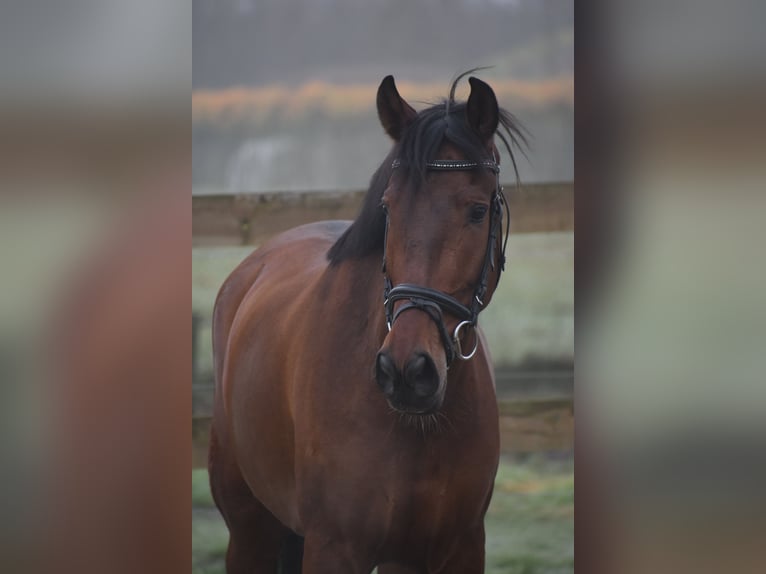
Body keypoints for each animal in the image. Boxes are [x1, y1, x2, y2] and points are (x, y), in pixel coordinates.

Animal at [210, 73, 528, 574]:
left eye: (478, 210)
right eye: (388, 207)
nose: (407, 371)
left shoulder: (458, 547)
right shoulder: (335, 547)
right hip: (248, 532)